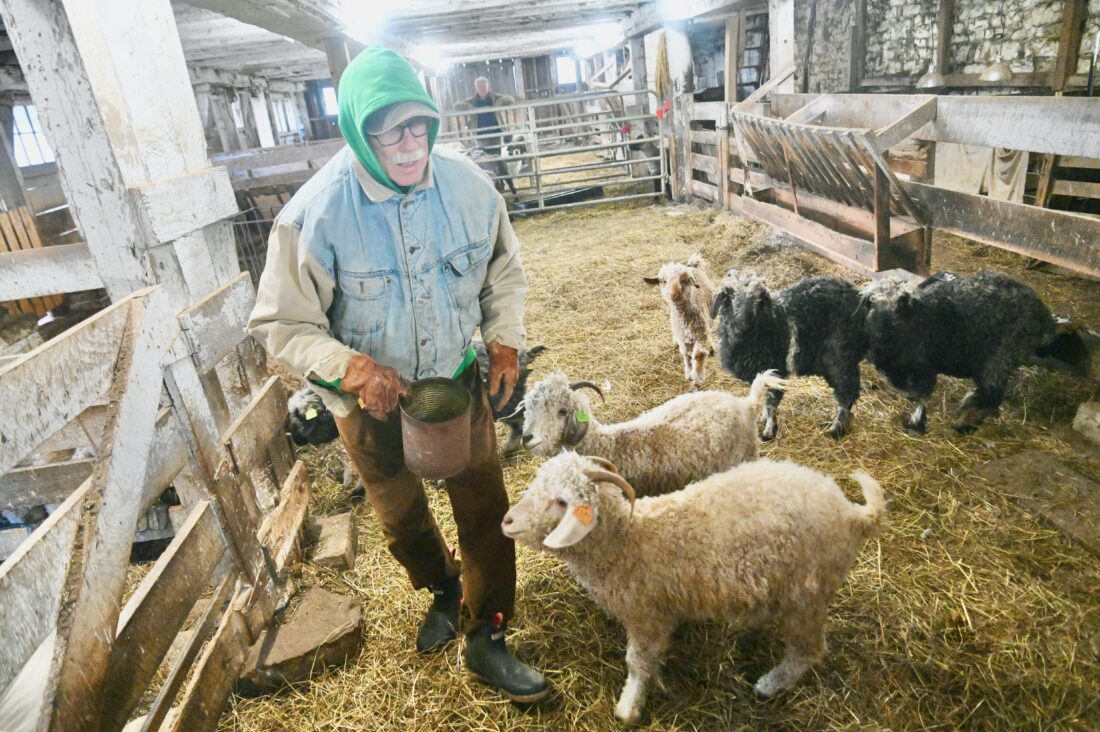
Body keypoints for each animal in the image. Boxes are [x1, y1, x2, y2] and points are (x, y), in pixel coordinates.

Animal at [501, 453, 886, 723]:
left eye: (561, 501)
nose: (507, 520)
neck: (627, 541)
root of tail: (853, 514)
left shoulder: (647, 617)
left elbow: (638, 662)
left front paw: (629, 706)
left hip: (807, 596)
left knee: (809, 650)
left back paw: (769, 684)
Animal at [520, 369, 785, 497]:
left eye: (562, 411)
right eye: (528, 408)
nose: (527, 438)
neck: (607, 446)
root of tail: (745, 404)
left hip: (747, 455)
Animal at [643, 254, 716, 388]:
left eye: (685, 280)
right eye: (663, 281)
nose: (673, 294)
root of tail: (693, 264)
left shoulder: (700, 335)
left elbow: (699, 354)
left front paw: (697, 378)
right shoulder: (683, 338)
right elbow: (686, 355)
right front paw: (689, 373)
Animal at [711, 271, 868, 440]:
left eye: (759, 300)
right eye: (732, 294)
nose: (744, 323)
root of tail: (856, 294)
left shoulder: (777, 370)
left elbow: (771, 402)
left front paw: (769, 431)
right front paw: (764, 419)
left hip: (840, 358)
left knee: (847, 392)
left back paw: (837, 428)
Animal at [862, 270, 1076, 434]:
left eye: (901, 305)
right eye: (871, 304)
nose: (878, 336)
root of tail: (1045, 319)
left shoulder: (923, 369)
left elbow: (920, 395)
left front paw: (916, 423)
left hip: (1000, 357)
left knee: (991, 395)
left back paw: (965, 422)